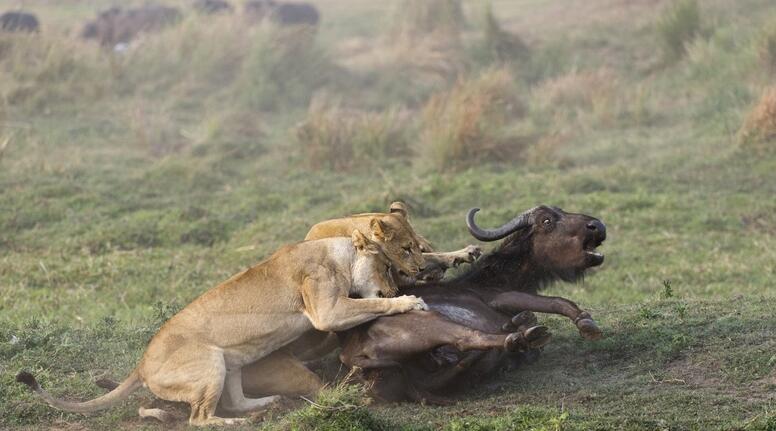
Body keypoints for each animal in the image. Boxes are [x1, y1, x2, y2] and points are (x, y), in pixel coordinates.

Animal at [18, 231, 428, 426]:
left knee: (235, 398)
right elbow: (369, 304)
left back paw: (266, 404)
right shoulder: (327, 311)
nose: (398, 287)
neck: (336, 254)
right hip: (210, 361)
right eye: (387, 267)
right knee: (199, 418)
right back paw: (240, 421)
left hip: (230, 362)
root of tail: (141, 364)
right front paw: (408, 303)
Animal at [340, 207, 608, 404]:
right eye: (547, 221)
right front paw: (586, 323)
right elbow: (557, 301)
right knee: (468, 338)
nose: (597, 226)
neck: (488, 279)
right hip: (431, 323)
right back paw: (520, 336)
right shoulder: (503, 296)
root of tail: (351, 355)